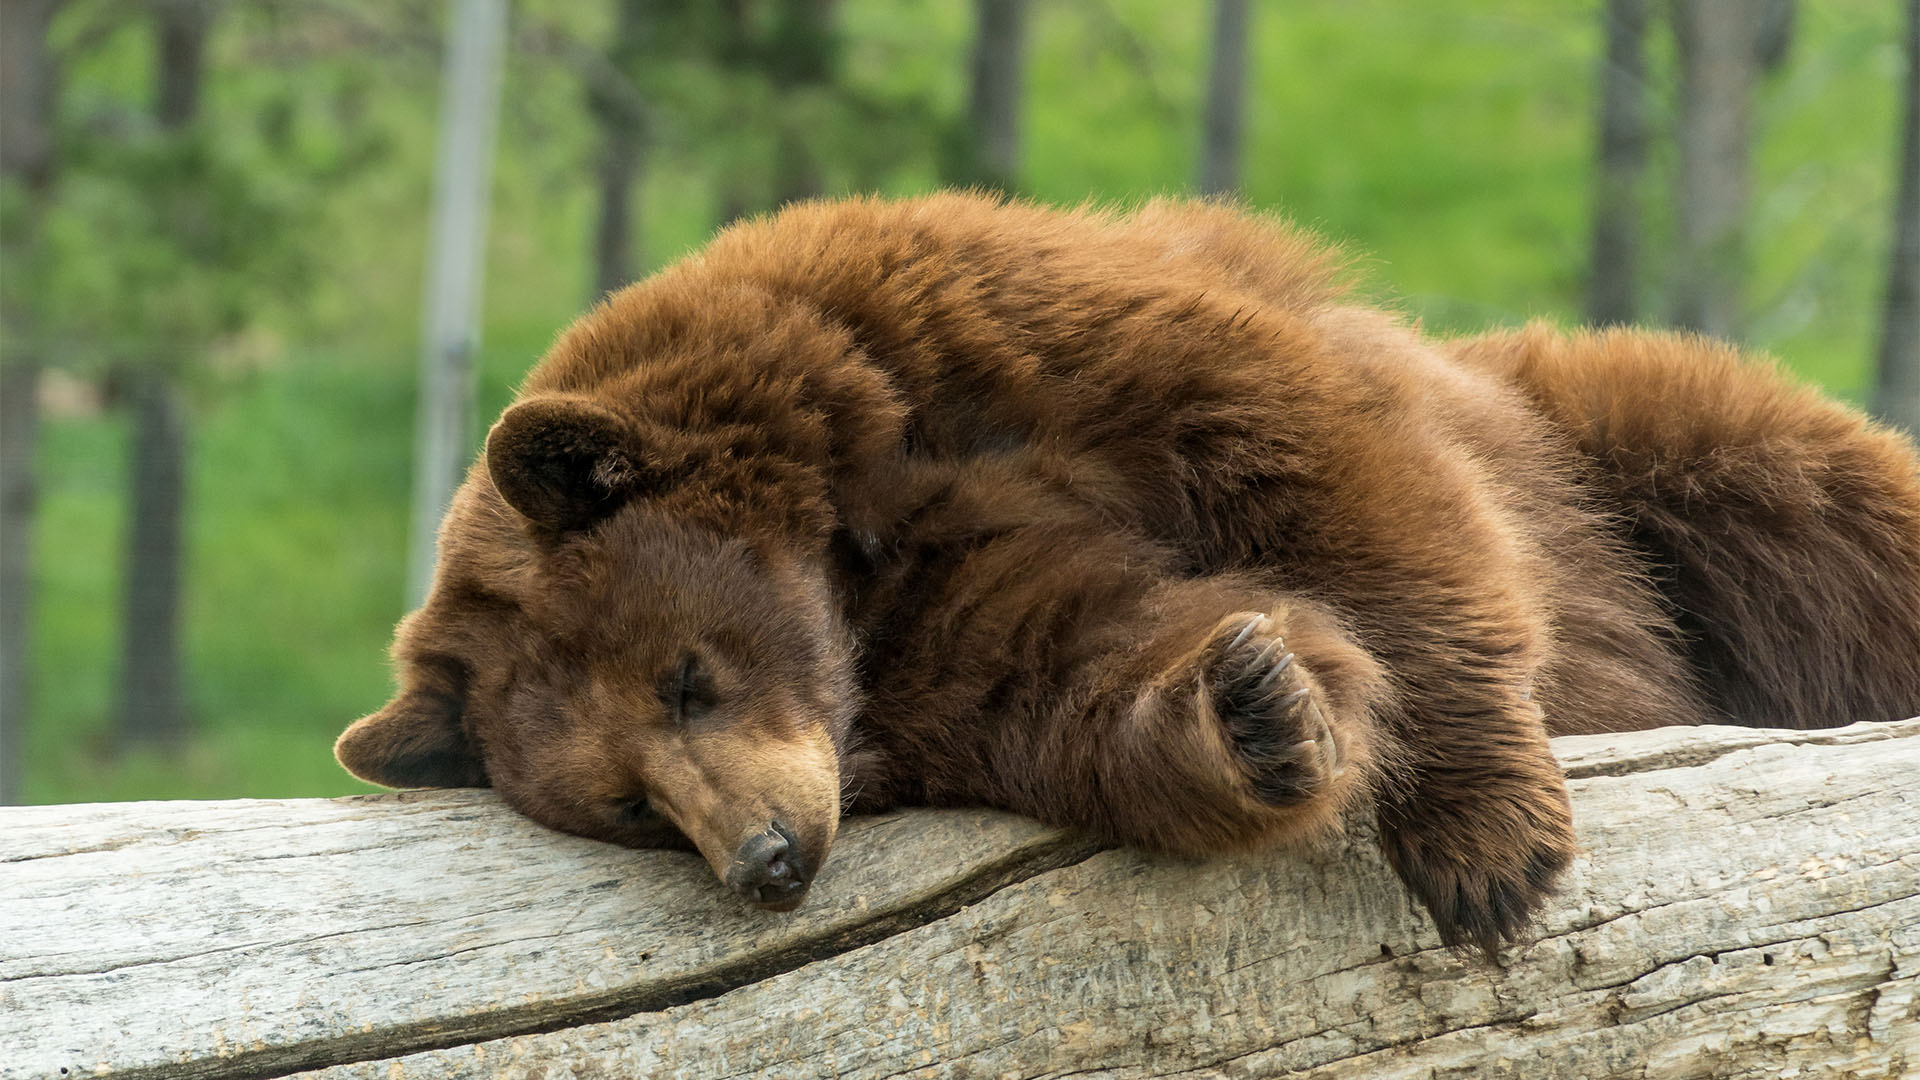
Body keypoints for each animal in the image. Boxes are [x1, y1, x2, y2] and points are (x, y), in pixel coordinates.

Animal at [336, 194, 1920, 952]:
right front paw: (1261, 706)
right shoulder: (943, 639)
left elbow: (1327, 465)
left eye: (686, 676)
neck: (857, 549)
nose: (768, 860)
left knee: (1796, 492)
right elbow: (1090, 669)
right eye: (627, 809)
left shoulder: (1003, 340)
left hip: (1613, 450)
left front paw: (1485, 851)